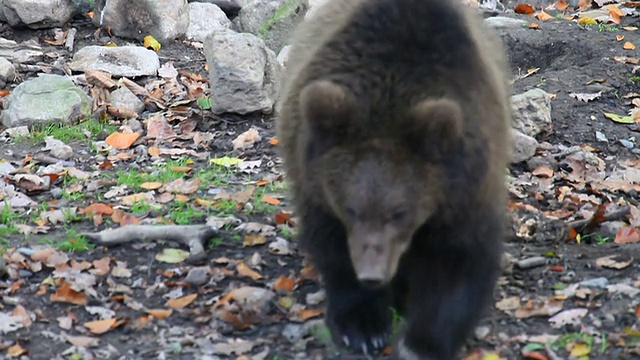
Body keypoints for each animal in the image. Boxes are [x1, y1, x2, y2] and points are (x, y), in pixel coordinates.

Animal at [276, 0, 510, 358]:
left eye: (399, 212)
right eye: (351, 208)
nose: (372, 275)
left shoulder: (465, 187)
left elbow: (458, 261)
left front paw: (421, 342)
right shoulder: (316, 187)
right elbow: (334, 249)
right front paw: (363, 326)